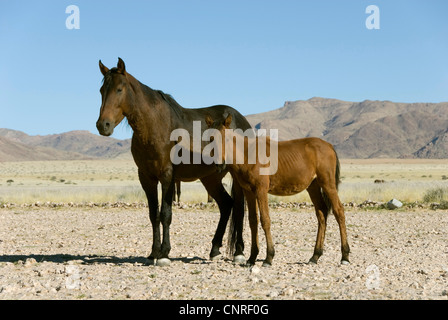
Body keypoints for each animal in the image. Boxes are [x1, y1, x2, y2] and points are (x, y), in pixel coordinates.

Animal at [96, 58, 250, 266]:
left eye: (119, 89)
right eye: (101, 90)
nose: (103, 125)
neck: (155, 127)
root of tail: (243, 121)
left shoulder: (167, 176)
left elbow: (165, 214)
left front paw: (164, 254)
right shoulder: (146, 178)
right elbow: (153, 215)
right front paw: (153, 252)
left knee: (239, 209)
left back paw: (239, 252)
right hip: (210, 177)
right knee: (227, 205)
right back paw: (215, 249)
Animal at [206, 114, 350, 266]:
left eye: (226, 138)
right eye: (210, 139)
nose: (220, 164)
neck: (248, 155)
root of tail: (329, 145)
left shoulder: (261, 190)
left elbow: (265, 220)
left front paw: (269, 257)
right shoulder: (249, 192)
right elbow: (253, 221)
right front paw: (252, 258)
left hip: (328, 185)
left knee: (339, 211)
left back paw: (345, 256)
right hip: (313, 187)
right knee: (322, 213)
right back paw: (315, 256)